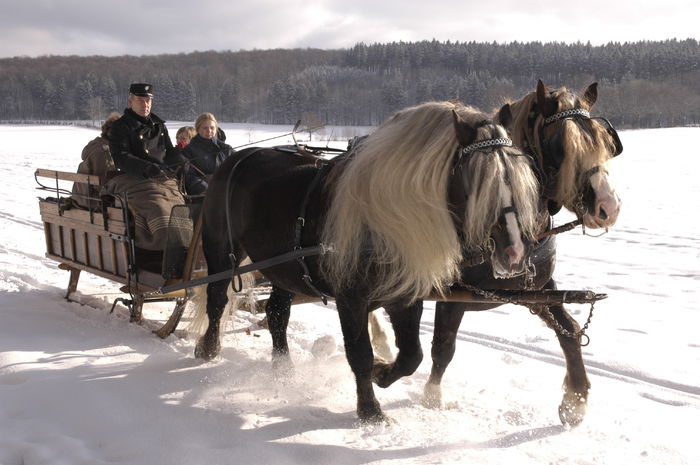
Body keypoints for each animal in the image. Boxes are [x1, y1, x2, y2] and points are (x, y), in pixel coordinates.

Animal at [195, 101, 542, 424]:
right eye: (477, 183)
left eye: (519, 177)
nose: (514, 252)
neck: (383, 220)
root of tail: (238, 158)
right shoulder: (351, 298)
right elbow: (359, 353)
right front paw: (370, 411)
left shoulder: (404, 296)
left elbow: (411, 356)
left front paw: (382, 373)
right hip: (221, 250)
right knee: (216, 298)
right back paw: (208, 347)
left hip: (286, 269)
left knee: (277, 313)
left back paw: (283, 370)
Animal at [423, 81, 623, 426]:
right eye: (560, 145)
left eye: (605, 141)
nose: (607, 207)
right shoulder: (454, 294)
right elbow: (444, 345)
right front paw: (431, 397)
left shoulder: (538, 288)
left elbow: (570, 331)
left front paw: (575, 399)